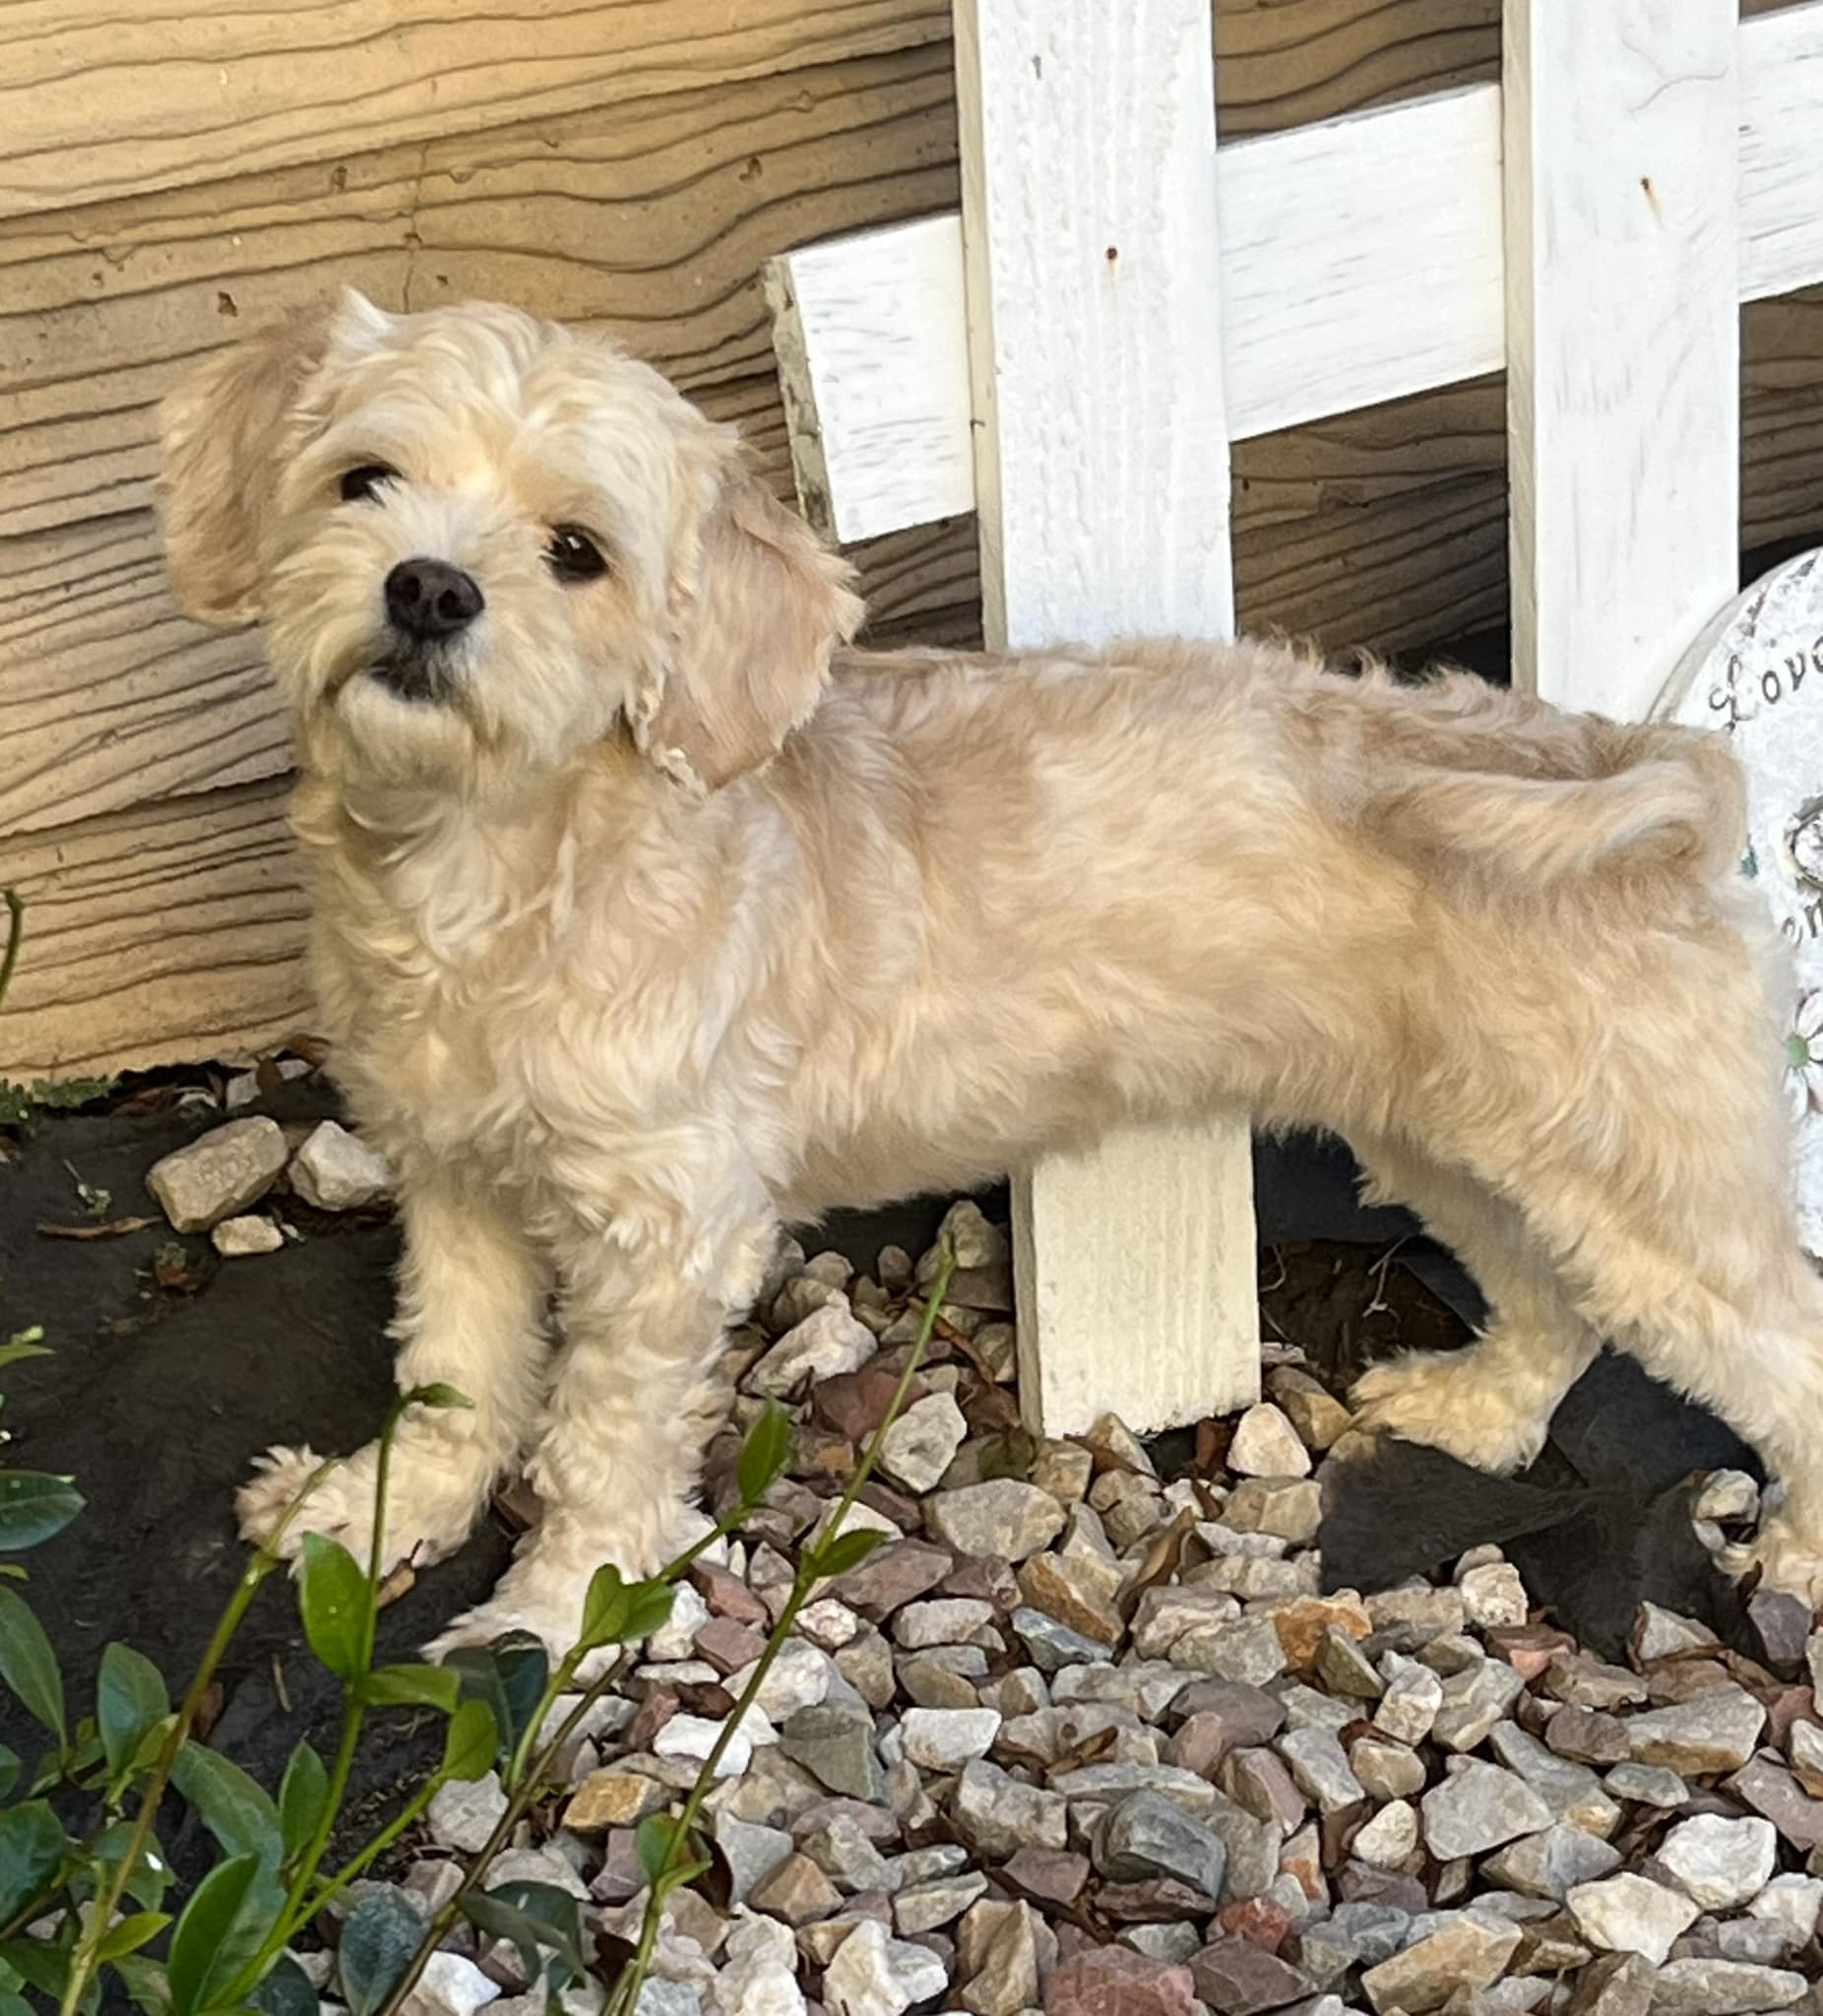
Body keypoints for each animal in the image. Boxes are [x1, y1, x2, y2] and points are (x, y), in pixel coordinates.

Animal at [156, 294, 1823, 1653]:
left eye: (579, 554)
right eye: (365, 479)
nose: (430, 589)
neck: (492, 871)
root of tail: (1635, 767)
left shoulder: (668, 1232)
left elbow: (599, 1438)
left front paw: (552, 1614)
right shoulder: (454, 1175)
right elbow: (455, 1371)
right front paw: (373, 1513)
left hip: (1652, 1195)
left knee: (1791, 1348)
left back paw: (1797, 1550)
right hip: (1463, 1143)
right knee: (1554, 1302)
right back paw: (1478, 1410)